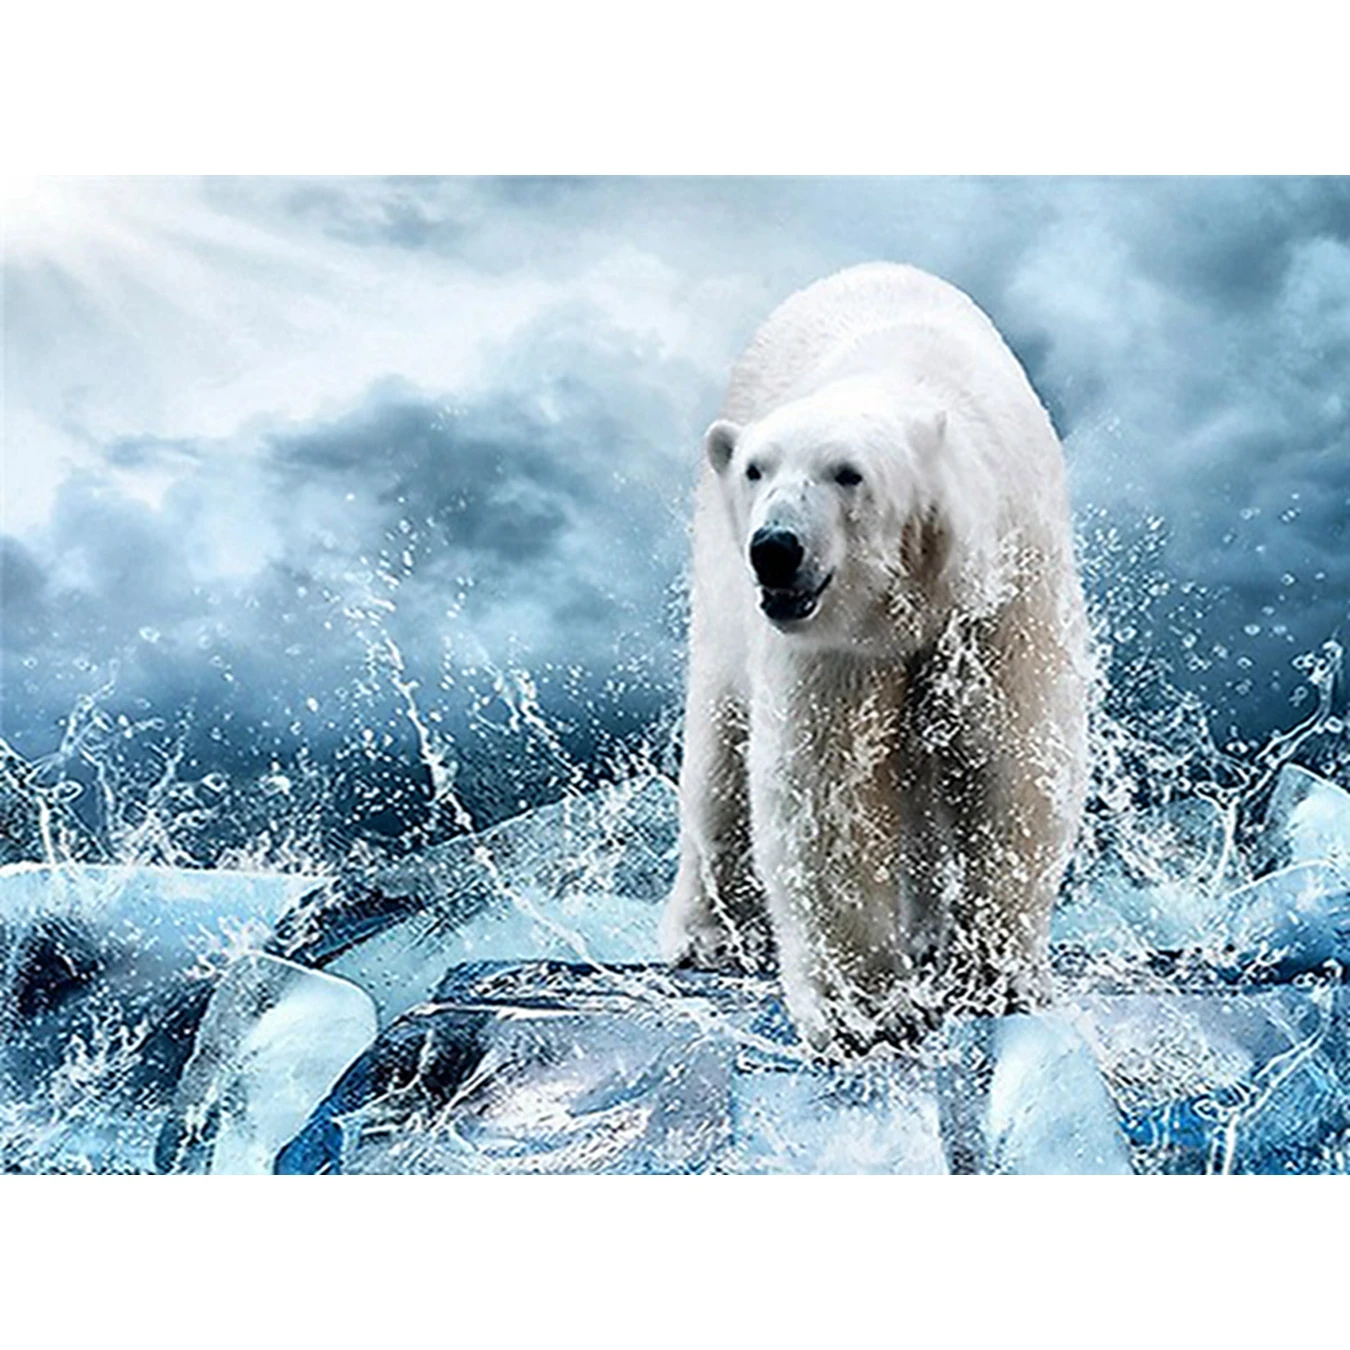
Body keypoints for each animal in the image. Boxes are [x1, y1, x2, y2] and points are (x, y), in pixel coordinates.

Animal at [659, 262, 1091, 1057]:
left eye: (847, 473)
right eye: (758, 470)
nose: (776, 548)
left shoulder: (1004, 588)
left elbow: (1014, 757)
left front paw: (994, 976)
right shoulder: (834, 644)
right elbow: (828, 787)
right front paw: (865, 1011)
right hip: (720, 596)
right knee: (719, 756)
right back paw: (709, 934)